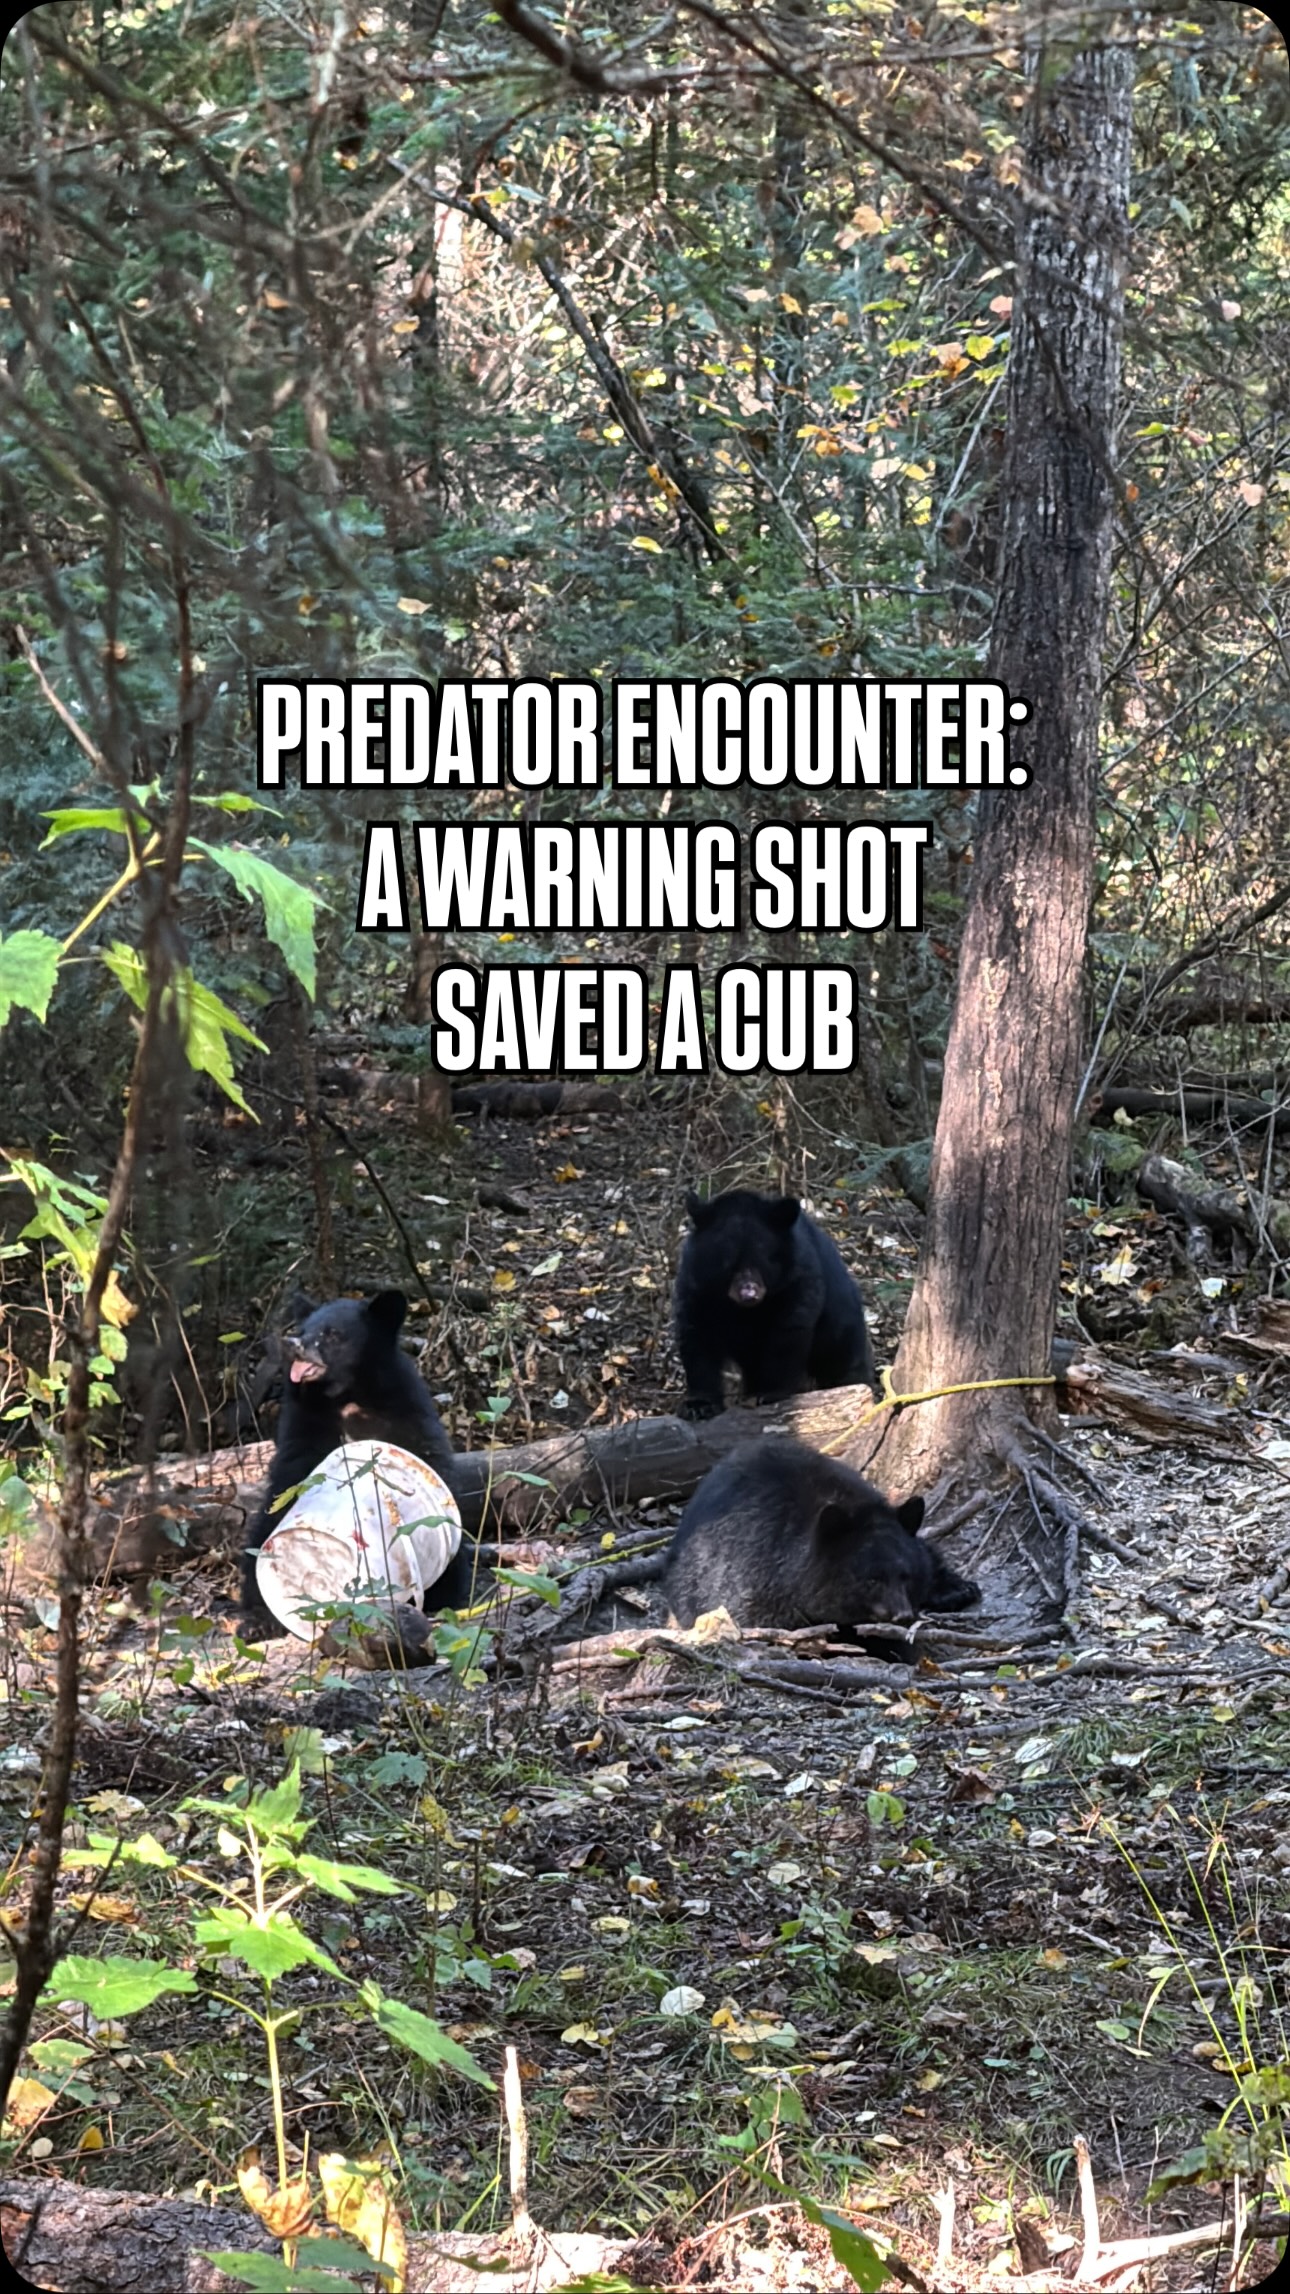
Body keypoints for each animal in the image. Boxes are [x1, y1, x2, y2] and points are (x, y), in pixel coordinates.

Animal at [240, 1290, 471, 1632]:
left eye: (333, 1333)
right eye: (304, 1328)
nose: (293, 1344)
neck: (348, 1396)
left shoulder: (406, 1412)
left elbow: (430, 1461)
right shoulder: (305, 1426)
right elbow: (289, 1477)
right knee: (257, 1542)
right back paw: (257, 1617)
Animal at [673, 1189, 877, 1418]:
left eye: (765, 1259)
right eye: (727, 1262)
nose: (749, 1293)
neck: (743, 1310)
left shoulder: (796, 1283)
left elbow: (787, 1334)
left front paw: (770, 1393)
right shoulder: (696, 1288)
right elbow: (697, 1337)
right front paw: (698, 1405)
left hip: (840, 1323)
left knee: (843, 1361)